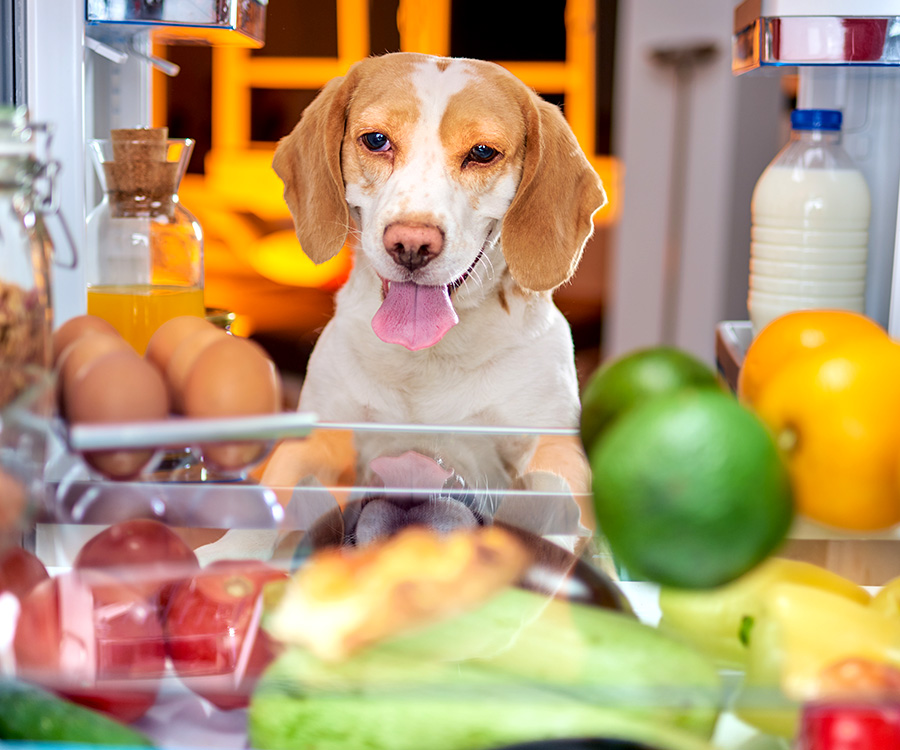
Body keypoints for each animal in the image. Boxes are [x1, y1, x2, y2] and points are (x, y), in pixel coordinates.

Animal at [253, 51, 604, 560]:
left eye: (482, 153)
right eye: (376, 140)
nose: (411, 244)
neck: (425, 363)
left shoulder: (553, 447)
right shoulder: (317, 442)